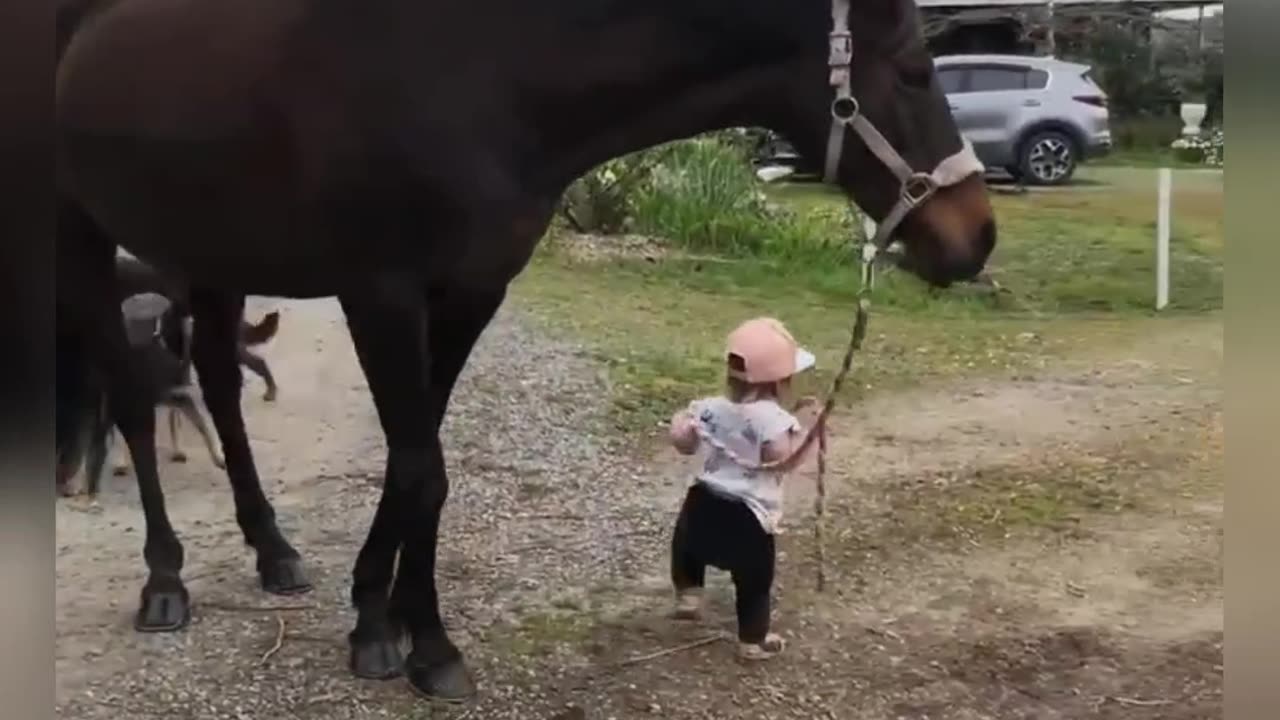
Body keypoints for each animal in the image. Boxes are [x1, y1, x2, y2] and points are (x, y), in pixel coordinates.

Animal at [57, 0, 998, 696]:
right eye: (915, 71)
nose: (977, 237)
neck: (484, 73)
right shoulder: (382, 294)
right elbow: (420, 468)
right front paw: (415, 642)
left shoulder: (470, 293)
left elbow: (416, 464)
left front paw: (388, 618)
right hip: (87, 236)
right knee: (134, 401)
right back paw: (165, 582)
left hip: (213, 253)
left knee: (219, 383)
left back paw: (274, 551)